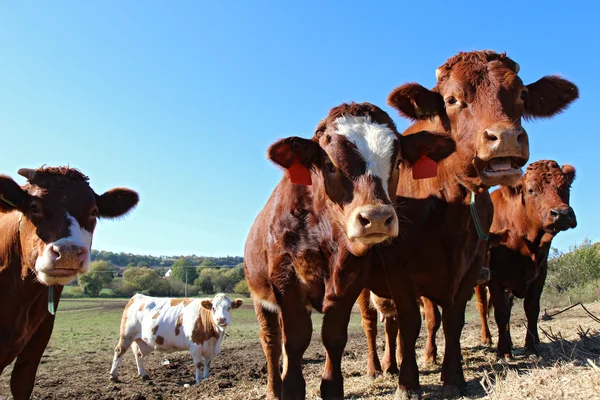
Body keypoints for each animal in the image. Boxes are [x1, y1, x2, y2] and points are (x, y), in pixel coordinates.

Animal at [110, 292, 244, 382]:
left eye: (229, 307)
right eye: (213, 308)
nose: (221, 320)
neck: (213, 337)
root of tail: (137, 297)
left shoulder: (209, 347)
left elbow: (207, 364)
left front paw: (206, 379)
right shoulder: (195, 345)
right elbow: (198, 364)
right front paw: (198, 381)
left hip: (144, 341)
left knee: (138, 355)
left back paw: (143, 374)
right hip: (127, 335)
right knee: (119, 351)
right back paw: (113, 376)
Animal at [244, 102, 454, 400]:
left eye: (398, 163)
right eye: (329, 165)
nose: (376, 217)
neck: (323, 234)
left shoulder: (351, 278)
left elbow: (333, 336)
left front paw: (331, 388)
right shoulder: (285, 280)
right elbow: (296, 338)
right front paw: (292, 389)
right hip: (259, 297)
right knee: (271, 341)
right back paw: (274, 389)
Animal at [476, 161, 580, 358]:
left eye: (566, 186)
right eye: (531, 190)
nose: (562, 213)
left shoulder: (540, 273)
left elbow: (531, 309)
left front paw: (531, 346)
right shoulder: (495, 278)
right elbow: (500, 312)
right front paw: (503, 351)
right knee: (483, 306)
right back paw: (487, 338)